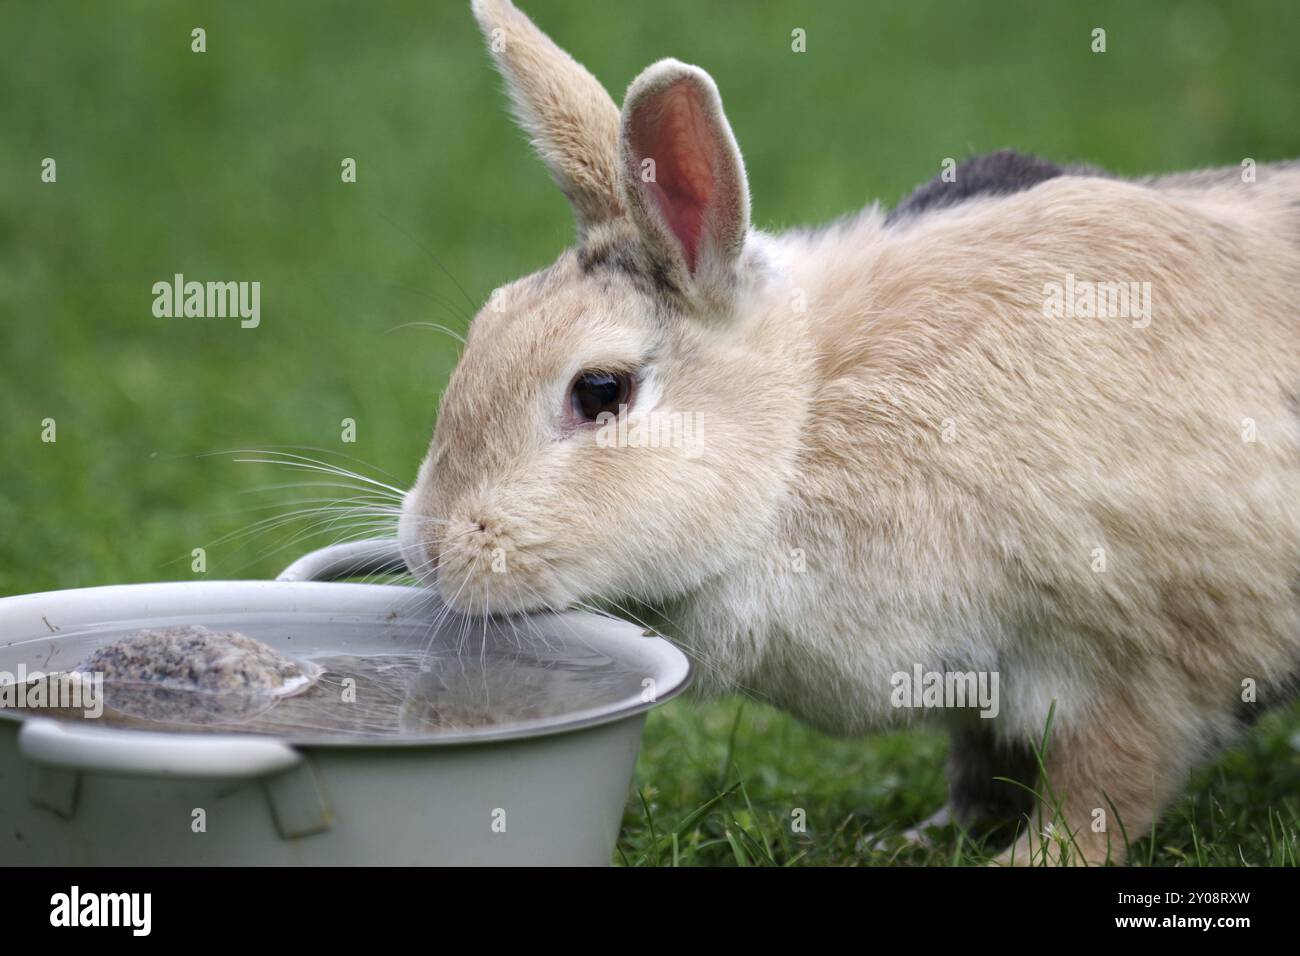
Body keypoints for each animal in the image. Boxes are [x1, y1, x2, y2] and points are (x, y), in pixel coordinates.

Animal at [398, 0, 1300, 865]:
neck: (803, 430)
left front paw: (1031, 861)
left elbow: (1103, 790)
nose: (433, 548)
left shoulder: (1142, 667)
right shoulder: (982, 692)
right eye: (486, 323)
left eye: (600, 391)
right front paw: (920, 839)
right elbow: (982, 769)